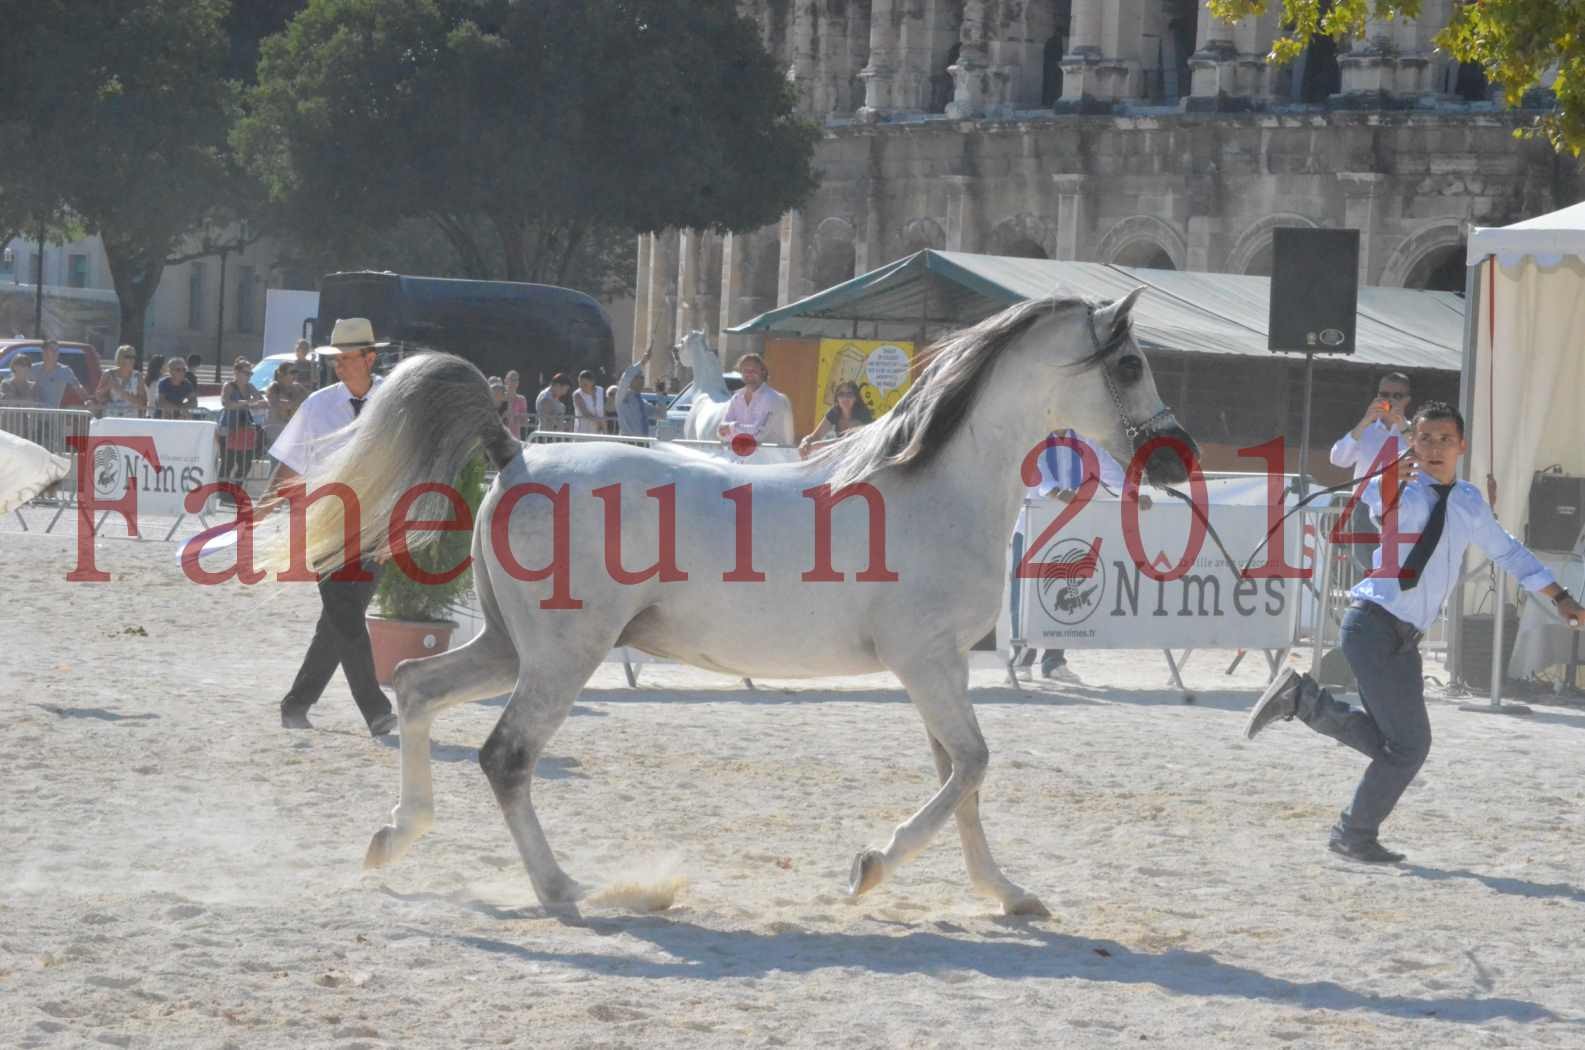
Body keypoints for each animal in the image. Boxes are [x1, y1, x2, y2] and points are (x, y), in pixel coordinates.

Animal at [294, 291, 1191, 919]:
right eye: (1127, 364)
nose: (1172, 459)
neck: (938, 486)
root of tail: (515, 456)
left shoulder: (941, 672)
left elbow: (959, 777)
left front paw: (1006, 894)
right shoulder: (927, 664)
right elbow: (970, 768)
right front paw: (869, 869)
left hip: (511, 649)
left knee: (415, 686)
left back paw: (392, 841)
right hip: (562, 657)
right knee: (504, 757)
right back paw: (562, 889)